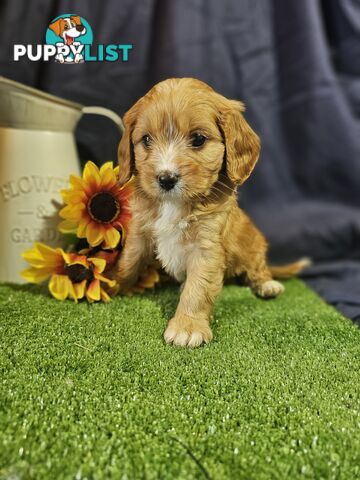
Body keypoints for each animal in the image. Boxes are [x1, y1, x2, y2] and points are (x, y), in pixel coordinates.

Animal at [112, 78, 306, 348]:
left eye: (198, 139)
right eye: (147, 140)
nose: (166, 178)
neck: (174, 203)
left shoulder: (206, 246)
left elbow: (198, 288)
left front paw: (187, 327)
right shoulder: (140, 233)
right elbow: (128, 262)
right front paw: (112, 284)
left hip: (254, 246)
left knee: (257, 269)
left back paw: (267, 285)